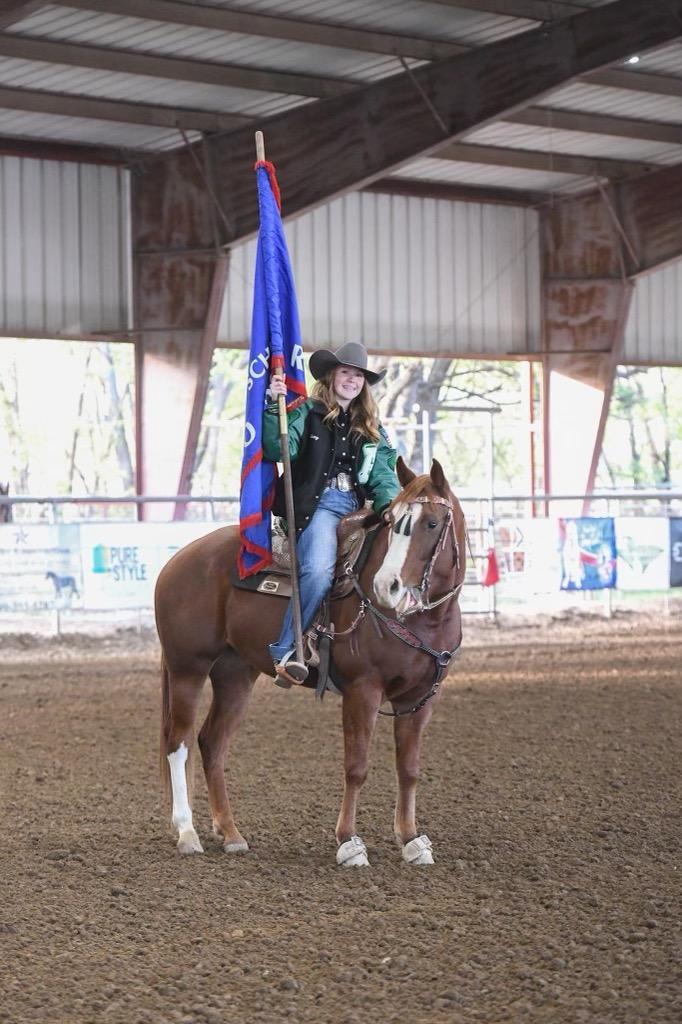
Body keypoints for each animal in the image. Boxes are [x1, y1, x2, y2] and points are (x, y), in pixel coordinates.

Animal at [155, 460, 464, 868]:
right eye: (392, 519)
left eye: (430, 523)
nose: (387, 587)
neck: (424, 619)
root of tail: (176, 561)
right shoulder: (363, 690)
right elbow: (356, 767)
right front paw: (349, 843)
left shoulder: (420, 698)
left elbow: (409, 770)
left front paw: (413, 840)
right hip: (187, 668)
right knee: (179, 741)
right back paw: (187, 833)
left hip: (234, 674)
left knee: (212, 743)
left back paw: (231, 833)